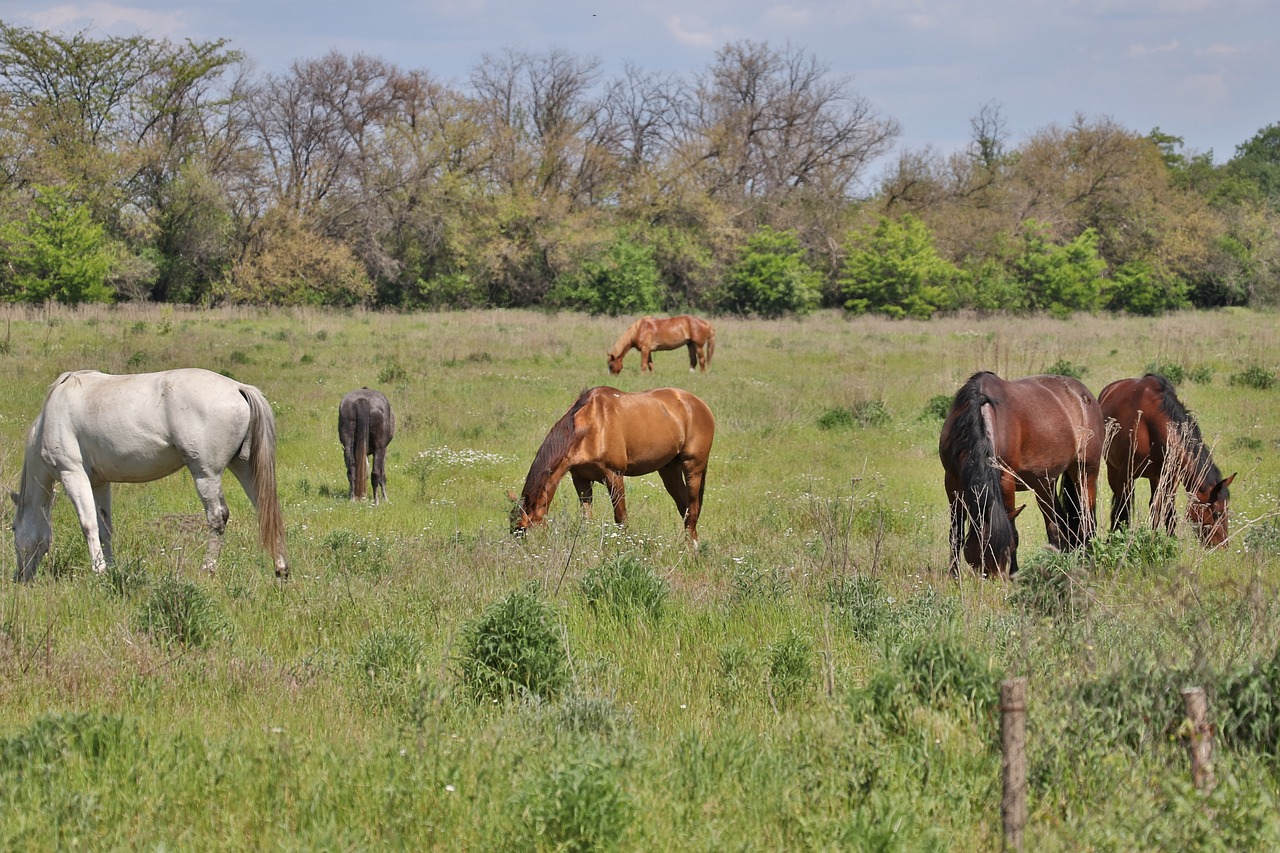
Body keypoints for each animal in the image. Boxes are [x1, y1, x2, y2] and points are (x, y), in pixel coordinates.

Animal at [10, 368, 290, 581]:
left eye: (12, 528)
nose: (19, 577)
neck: (51, 415)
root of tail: (238, 388)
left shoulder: (73, 474)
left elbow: (88, 524)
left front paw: (99, 571)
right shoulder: (100, 483)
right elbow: (105, 528)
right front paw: (111, 569)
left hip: (206, 474)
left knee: (217, 518)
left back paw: (207, 569)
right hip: (244, 467)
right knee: (266, 508)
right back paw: (281, 569)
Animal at [506, 386, 711, 545]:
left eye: (524, 529)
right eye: (513, 530)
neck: (592, 426)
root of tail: (699, 404)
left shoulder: (614, 476)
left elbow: (621, 518)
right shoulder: (580, 479)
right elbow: (586, 518)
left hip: (693, 467)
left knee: (692, 509)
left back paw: (692, 549)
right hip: (669, 470)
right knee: (684, 507)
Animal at [936, 371, 1105, 573]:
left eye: (1005, 550)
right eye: (980, 553)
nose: (994, 577)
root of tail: (1084, 395)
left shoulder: (1006, 479)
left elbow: (1013, 531)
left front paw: (1014, 573)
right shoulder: (952, 481)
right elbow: (956, 534)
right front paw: (953, 575)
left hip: (1085, 472)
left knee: (1087, 521)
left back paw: (1087, 561)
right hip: (1044, 484)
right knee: (1057, 524)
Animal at [1095, 371, 1233, 545]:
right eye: (1217, 513)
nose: (1222, 546)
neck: (1149, 424)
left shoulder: (1170, 478)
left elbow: (1166, 512)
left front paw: (1164, 540)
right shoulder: (1126, 473)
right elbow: (1123, 509)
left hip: (1154, 478)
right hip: (1114, 471)